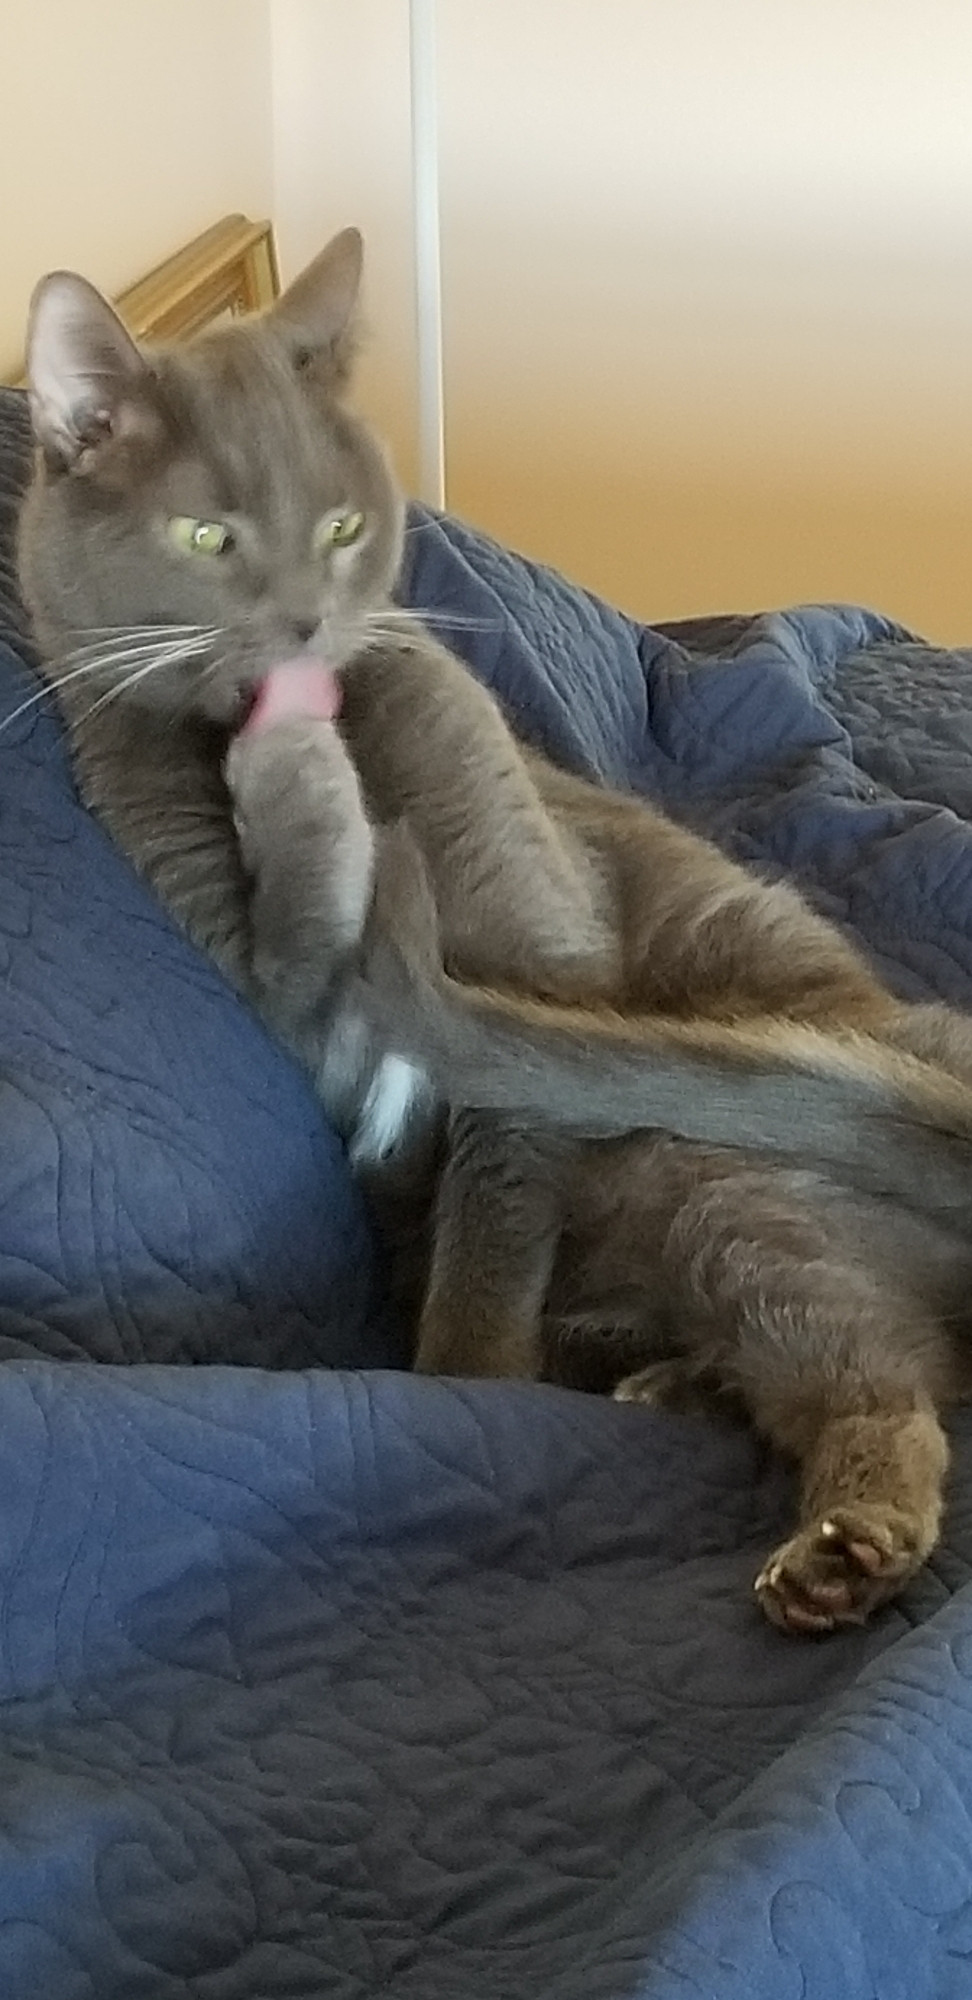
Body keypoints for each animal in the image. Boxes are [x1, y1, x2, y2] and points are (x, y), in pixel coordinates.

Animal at [17, 227, 972, 1632]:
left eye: (345, 529)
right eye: (207, 535)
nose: (305, 627)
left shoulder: (536, 948)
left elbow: (488, 1251)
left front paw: (471, 1385)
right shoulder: (239, 943)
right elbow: (304, 945)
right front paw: (299, 774)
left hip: (718, 1173)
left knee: (882, 1378)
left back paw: (839, 1544)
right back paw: (675, 1391)